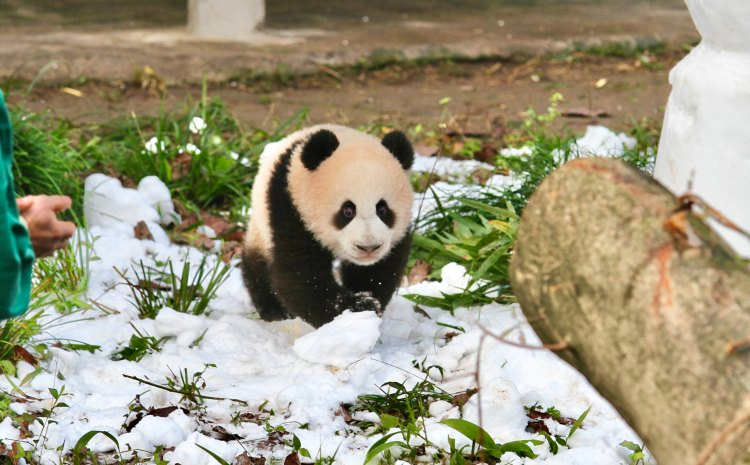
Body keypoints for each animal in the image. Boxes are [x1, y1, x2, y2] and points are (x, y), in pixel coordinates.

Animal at [242, 123, 414, 326]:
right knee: (258, 262)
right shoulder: (290, 208)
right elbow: (300, 275)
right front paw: (355, 308)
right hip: (262, 225)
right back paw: (273, 310)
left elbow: (378, 271)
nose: (368, 247)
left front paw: (367, 306)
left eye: (383, 210)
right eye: (347, 211)